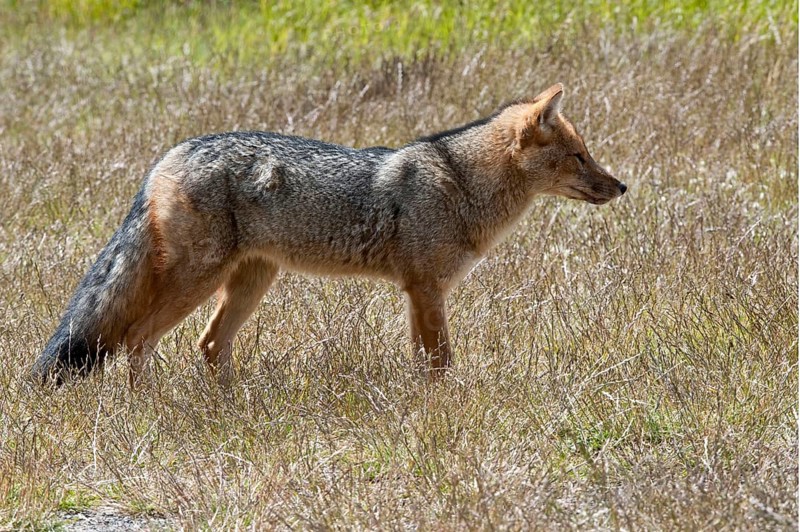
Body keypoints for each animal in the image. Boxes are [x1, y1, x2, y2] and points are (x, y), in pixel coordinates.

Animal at [32, 83, 626, 387]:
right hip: (198, 282)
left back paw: (230, 407)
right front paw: (447, 409)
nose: (622, 186)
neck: (460, 183)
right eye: (580, 156)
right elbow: (441, 362)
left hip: (249, 284)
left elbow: (424, 363)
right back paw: (152, 408)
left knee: (208, 344)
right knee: (138, 338)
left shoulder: (418, 294)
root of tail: (168, 156)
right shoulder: (426, 290)